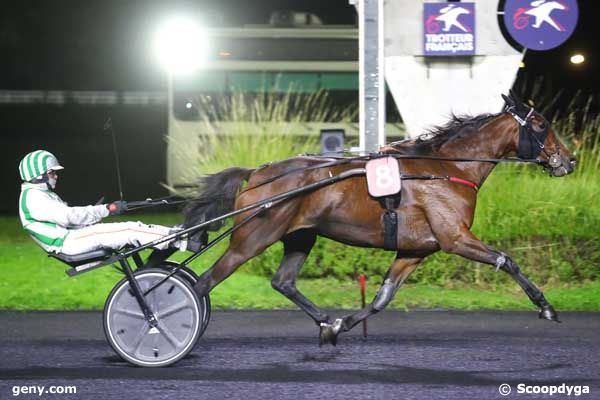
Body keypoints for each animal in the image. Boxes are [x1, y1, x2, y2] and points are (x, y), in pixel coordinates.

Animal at [184, 92, 576, 346]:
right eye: (541, 124)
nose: (569, 160)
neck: (447, 168)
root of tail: (257, 174)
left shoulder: (415, 250)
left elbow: (382, 298)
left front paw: (340, 324)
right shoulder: (455, 237)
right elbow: (507, 260)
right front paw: (546, 307)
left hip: (300, 235)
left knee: (283, 282)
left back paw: (324, 320)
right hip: (251, 238)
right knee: (203, 283)